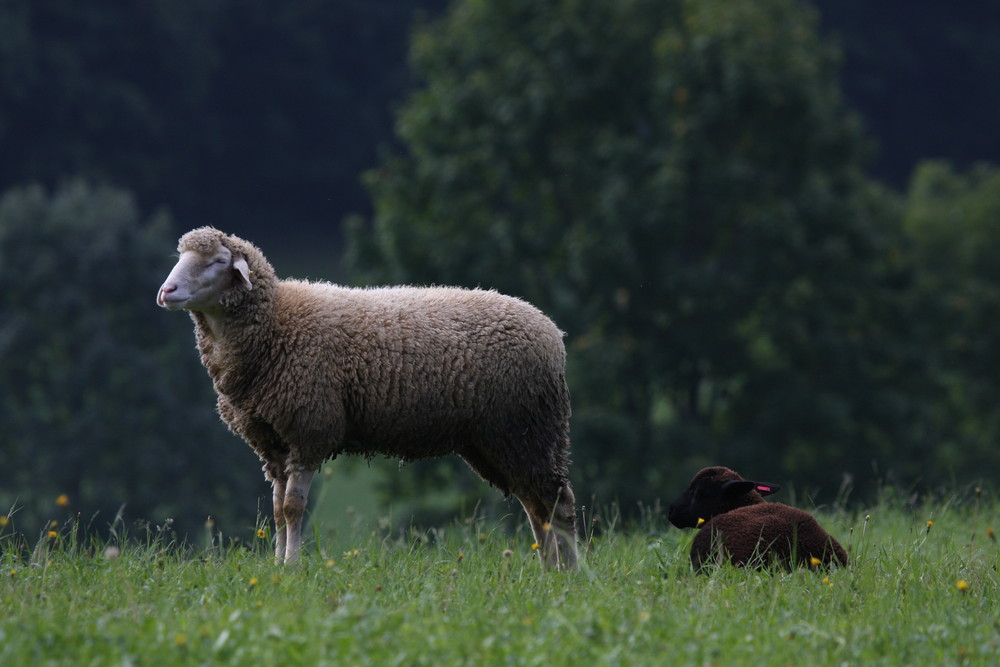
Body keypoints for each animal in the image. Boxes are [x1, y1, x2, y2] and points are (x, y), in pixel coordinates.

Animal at [156, 228, 580, 568]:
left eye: (218, 261)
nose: (166, 291)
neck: (276, 323)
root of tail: (552, 331)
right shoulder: (272, 443)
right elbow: (276, 511)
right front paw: (275, 564)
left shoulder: (310, 429)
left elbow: (293, 509)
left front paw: (291, 566)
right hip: (496, 440)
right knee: (535, 504)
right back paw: (548, 569)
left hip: (528, 427)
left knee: (559, 501)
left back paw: (570, 573)